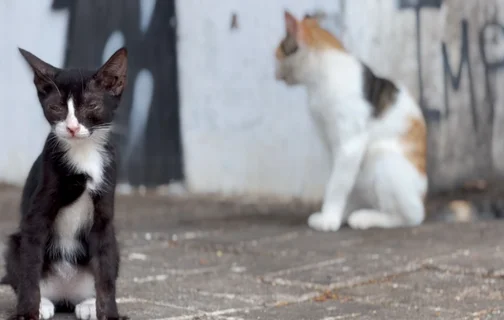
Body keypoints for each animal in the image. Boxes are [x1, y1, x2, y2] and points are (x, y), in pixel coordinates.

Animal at [2, 47, 128, 320]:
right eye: (56, 107)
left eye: (91, 105)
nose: (71, 127)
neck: (83, 153)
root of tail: (66, 296)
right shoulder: (37, 212)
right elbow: (30, 264)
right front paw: (28, 311)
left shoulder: (104, 212)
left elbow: (105, 270)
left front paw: (109, 312)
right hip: (15, 243)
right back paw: (43, 303)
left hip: (114, 242)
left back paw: (88, 303)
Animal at [276, 11, 426, 230]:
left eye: (278, 53)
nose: (275, 70)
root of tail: (423, 196)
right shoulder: (332, 143)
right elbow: (340, 178)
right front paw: (336, 215)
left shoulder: (350, 143)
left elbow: (337, 184)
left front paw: (329, 219)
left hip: (381, 157)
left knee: (410, 217)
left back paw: (365, 218)